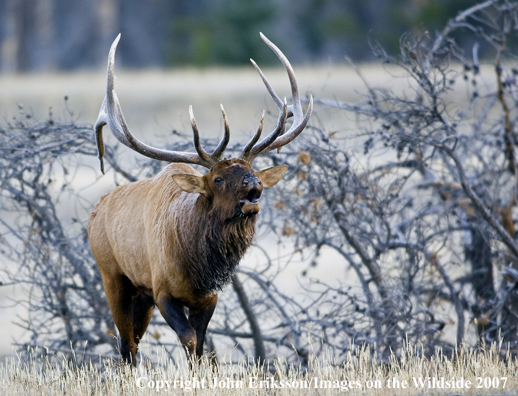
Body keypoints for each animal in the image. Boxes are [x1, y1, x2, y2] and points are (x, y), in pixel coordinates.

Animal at [88, 33, 312, 366]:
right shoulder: (163, 290)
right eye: (217, 179)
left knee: (133, 342)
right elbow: (190, 340)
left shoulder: (208, 298)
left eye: (251, 170)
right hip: (113, 277)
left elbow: (203, 346)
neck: (198, 269)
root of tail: (95, 213)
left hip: (141, 294)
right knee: (126, 345)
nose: (255, 185)